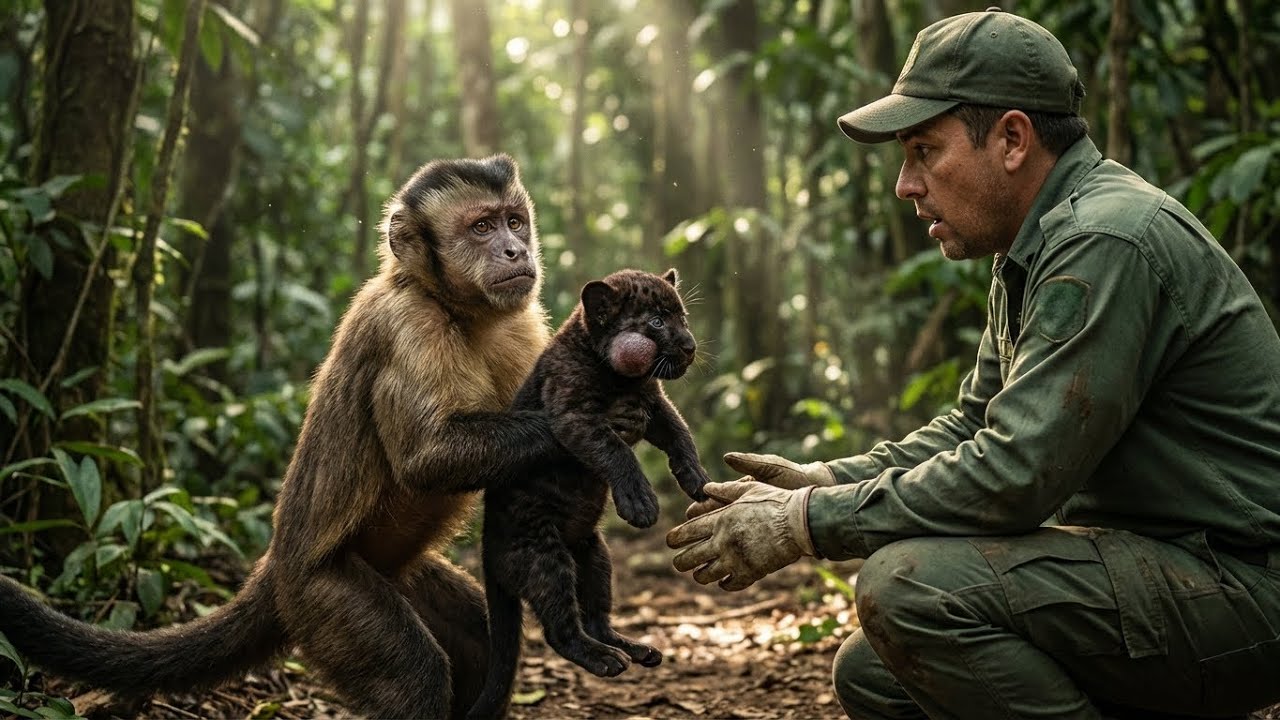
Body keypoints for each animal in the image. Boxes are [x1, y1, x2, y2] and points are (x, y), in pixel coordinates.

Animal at [0, 155, 617, 718]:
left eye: (515, 221)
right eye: (482, 228)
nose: (516, 251)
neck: (451, 304)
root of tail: (274, 566)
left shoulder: (522, 322)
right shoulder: (408, 325)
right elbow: (429, 458)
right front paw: (597, 420)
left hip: (397, 575)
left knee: (476, 635)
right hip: (323, 600)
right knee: (413, 676)